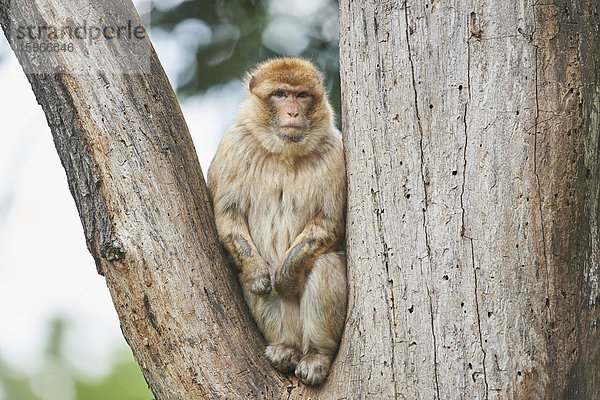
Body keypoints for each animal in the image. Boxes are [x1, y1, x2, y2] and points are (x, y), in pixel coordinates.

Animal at [207, 57, 344, 386]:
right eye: (281, 94)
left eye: (302, 95)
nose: (293, 112)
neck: (284, 152)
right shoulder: (234, 146)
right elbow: (228, 214)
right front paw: (259, 274)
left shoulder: (334, 153)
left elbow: (330, 222)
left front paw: (287, 275)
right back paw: (285, 348)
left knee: (325, 264)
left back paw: (316, 356)